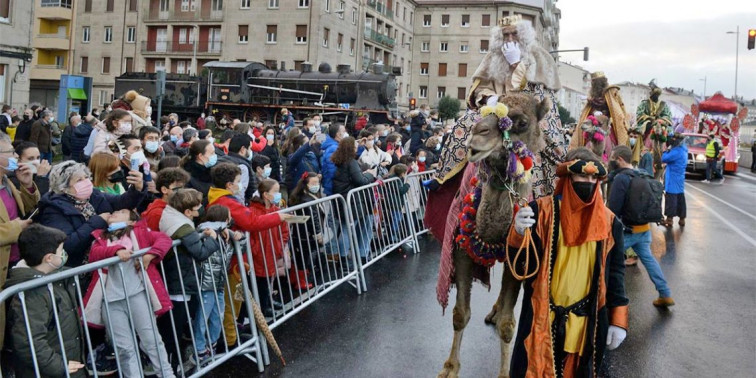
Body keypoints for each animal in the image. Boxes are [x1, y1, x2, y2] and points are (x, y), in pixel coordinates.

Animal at [438, 94, 548, 378]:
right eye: (482, 114)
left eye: (521, 122)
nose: (478, 135)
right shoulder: (462, 250)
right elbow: (460, 313)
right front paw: (450, 368)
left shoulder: (519, 258)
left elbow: (508, 325)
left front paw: (504, 372)